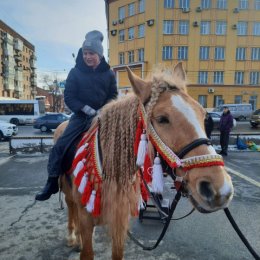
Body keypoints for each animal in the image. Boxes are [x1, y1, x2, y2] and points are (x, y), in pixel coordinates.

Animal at [55, 63, 234, 260]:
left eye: (203, 115)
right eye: (162, 119)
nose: (220, 190)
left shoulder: (120, 221)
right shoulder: (87, 222)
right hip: (68, 194)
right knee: (71, 210)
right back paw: (72, 237)